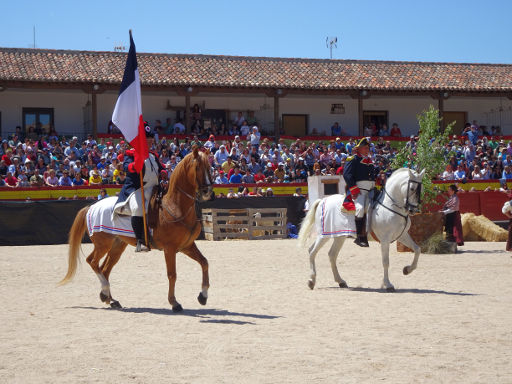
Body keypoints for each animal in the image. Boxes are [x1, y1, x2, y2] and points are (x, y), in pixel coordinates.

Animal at [60, 147, 214, 312]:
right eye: (197, 167)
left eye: (210, 167)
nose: (208, 192)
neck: (175, 206)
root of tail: (92, 207)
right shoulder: (170, 249)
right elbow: (172, 274)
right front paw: (174, 302)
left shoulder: (187, 245)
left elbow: (204, 262)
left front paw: (203, 296)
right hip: (103, 244)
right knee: (93, 262)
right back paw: (105, 292)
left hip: (117, 246)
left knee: (105, 269)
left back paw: (110, 299)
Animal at [298, 168, 426, 292]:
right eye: (412, 188)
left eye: (421, 188)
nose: (413, 210)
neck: (390, 205)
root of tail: (323, 200)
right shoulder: (385, 239)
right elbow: (386, 262)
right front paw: (388, 284)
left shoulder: (402, 235)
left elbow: (417, 250)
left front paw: (407, 270)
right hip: (323, 235)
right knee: (312, 251)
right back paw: (311, 281)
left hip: (339, 237)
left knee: (332, 255)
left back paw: (341, 281)